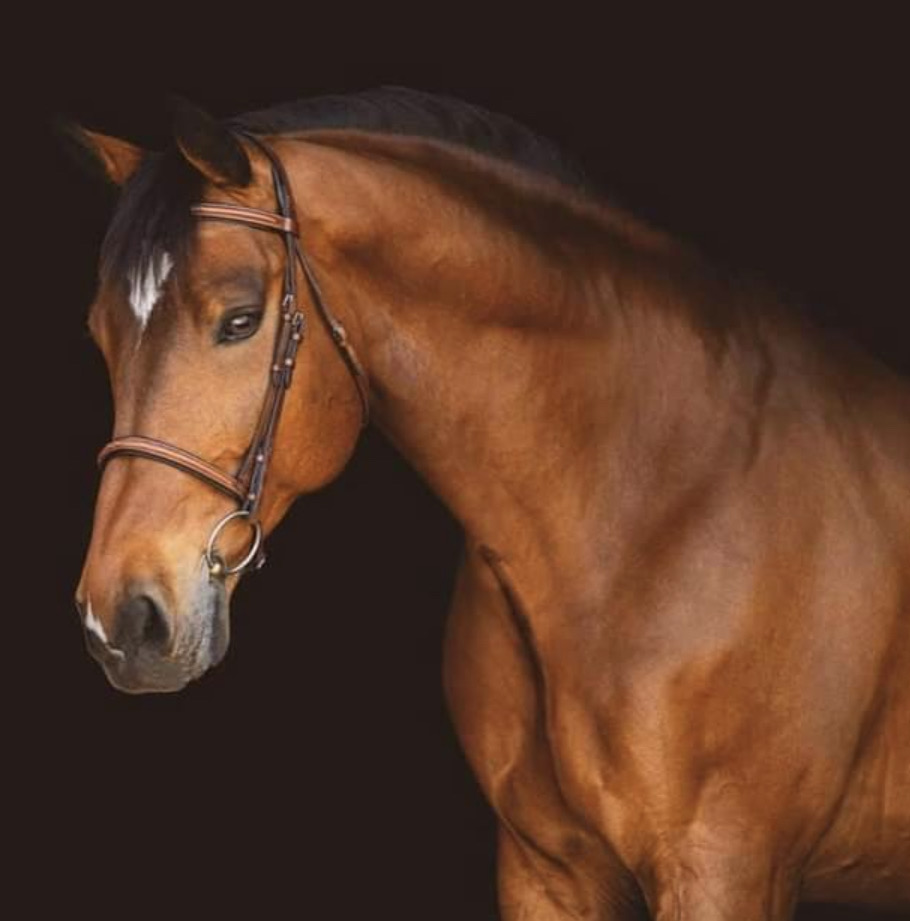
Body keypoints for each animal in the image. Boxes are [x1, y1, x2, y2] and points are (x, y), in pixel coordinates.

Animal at [68, 88, 909, 920]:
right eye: (103, 335)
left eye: (239, 320)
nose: (121, 622)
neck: (654, 504)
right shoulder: (545, 870)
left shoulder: (725, 868)